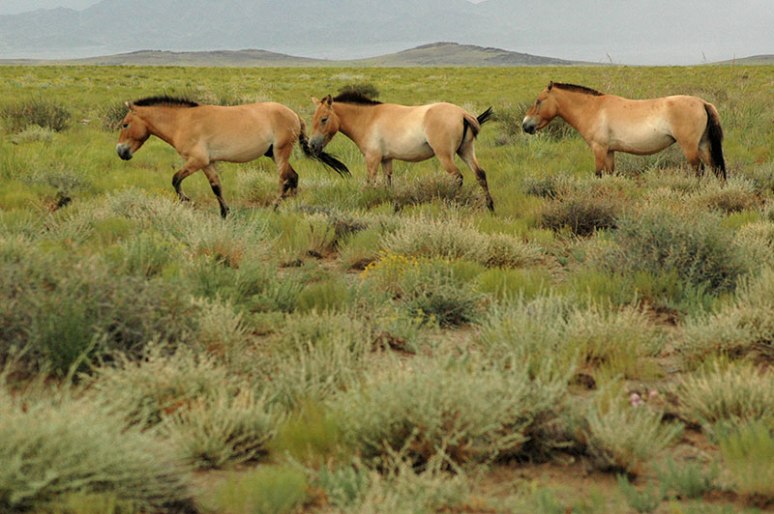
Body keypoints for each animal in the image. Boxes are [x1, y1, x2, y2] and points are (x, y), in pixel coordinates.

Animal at [116, 95, 349, 217]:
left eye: (125, 124)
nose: (121, 151)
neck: (183, 122)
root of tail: (294, 114)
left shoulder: (197, 161)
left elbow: (175, 180)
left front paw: (187, 201)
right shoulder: (208, 163)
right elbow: (216, 187)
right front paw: (224, 212)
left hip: (280, 153)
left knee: (284, 179)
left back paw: (275, 207)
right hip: (274, 155)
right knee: (293, 177)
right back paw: (290, 205)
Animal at [309, 92, 496, 211]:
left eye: (324, 119)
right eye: (313, 119)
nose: (312, 145)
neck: (368, 119)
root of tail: (463, 113)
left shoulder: (372, 159)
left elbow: (369, 183)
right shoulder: (386, 160)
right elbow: (388, 184)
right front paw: (393, 206)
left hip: (445, 156)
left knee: (457, 177)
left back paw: (453, 204)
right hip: (465, 151)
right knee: (480, 174)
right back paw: (490, 207)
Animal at [522, 82, 726, 179]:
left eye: (538, 101)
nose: (525, 125)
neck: (593, 109)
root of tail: (703, 103)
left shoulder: (599, 149)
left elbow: (598, 174)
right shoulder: (609, 151)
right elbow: (609, 174)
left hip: (690, 147)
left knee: (699, 170)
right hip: (703, 145)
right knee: (715, 169)